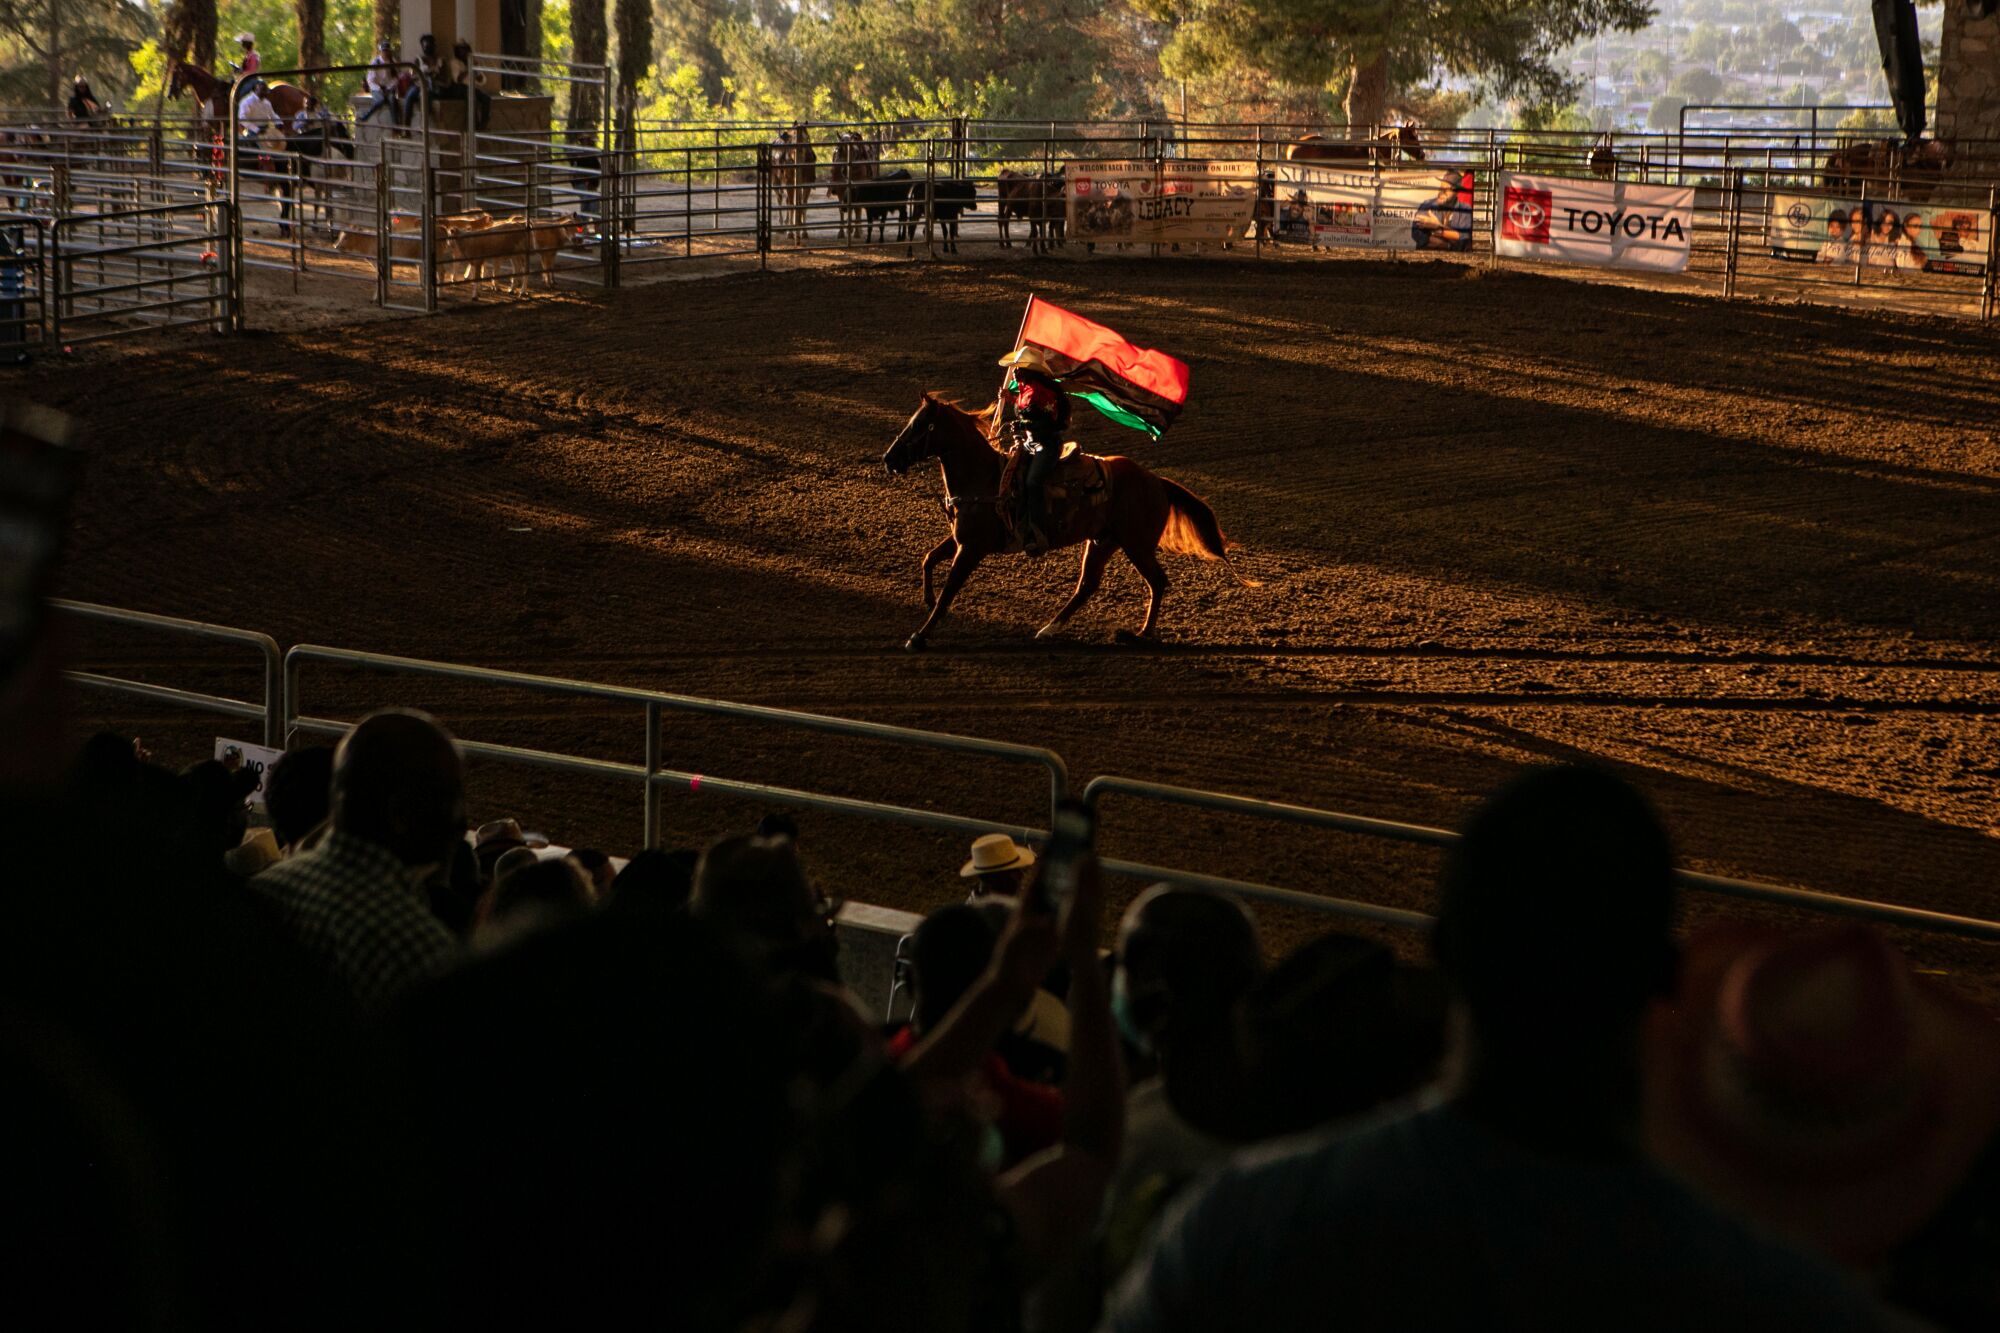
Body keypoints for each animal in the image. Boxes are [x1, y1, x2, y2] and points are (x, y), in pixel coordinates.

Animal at [888, 392, 1256, 644]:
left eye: (919, 425)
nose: (889, 458)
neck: (985, 479)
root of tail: (1157, 481)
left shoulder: (972, 548)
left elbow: (949, 589)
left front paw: (919, 636)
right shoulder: (962, 540)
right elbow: (928, 559)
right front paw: (926, 600)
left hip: (1136, 545)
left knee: (1157, 582)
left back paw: (1140, 634)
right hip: (1103, 541)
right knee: (1088, 585)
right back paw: (1049, 628)